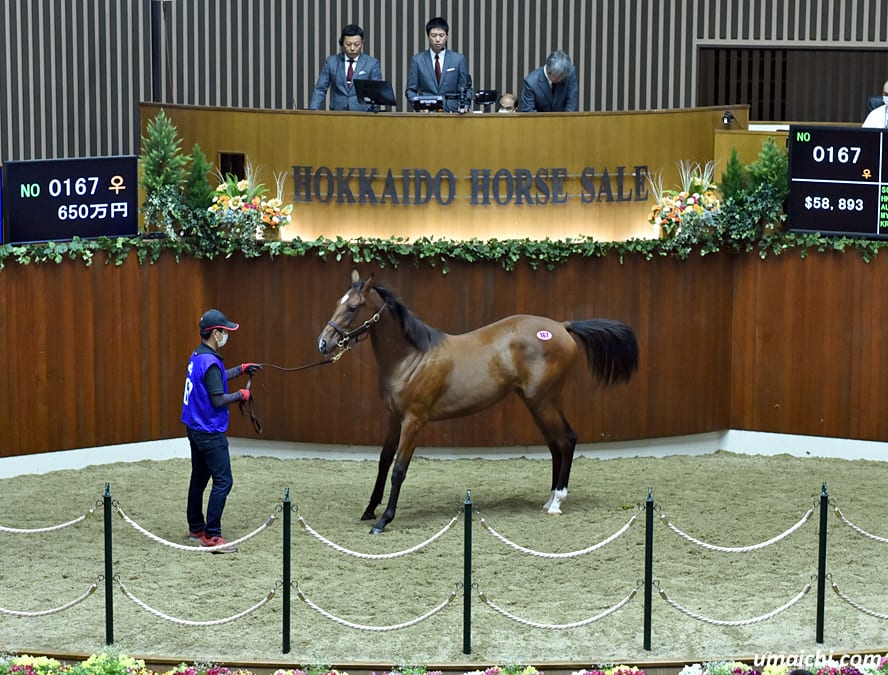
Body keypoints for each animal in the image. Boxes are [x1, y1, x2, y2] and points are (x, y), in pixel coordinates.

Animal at [317, 270, 639, 534]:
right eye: (338, 302)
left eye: (353, 307)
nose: (324, 343)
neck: (412, 357)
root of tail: (562, 326)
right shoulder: (394, 417)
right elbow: (383, 462)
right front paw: (369, 510)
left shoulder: (414, 420)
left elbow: (398, 469)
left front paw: (384, 520)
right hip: (534, 403)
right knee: (555, 444)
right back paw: (548, 500)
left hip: (545, 401)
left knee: (568, 439)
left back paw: (557, 502)